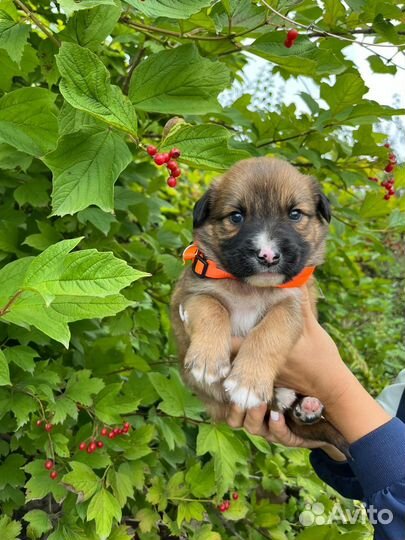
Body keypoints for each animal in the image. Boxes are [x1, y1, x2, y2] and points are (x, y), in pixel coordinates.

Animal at [170, 158, 348, 454]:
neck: (251, 288)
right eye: (236, 217)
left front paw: (248, 382)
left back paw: (306, 406)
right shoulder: (191, 295)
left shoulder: (293, 307)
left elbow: (269, 332)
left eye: (295, 214)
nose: (268, 255)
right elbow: (213, 309)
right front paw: (208, 360)